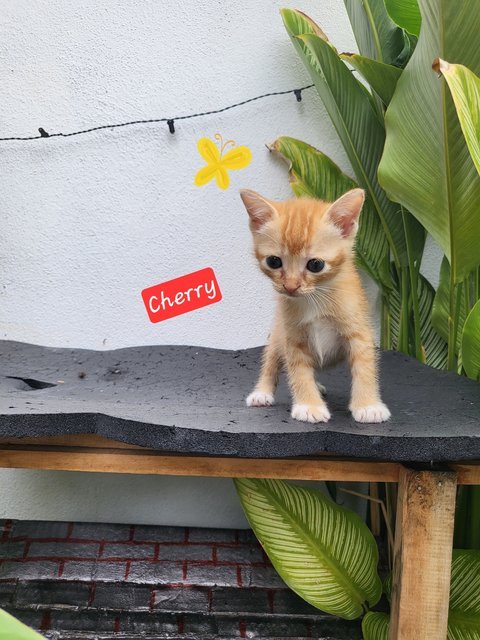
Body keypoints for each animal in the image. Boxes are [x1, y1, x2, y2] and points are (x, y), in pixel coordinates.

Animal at [240, 188, 390, 422]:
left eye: (316, 265)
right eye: (274, 262)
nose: (290, 286)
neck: (315, 298)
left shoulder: (359, 330)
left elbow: (364, 367)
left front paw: (368, 405)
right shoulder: (292, 336)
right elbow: (299, 371)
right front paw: (309, 405)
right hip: (277, 334)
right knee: (271, 361)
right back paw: (262, 392)